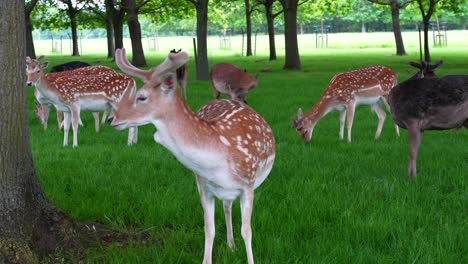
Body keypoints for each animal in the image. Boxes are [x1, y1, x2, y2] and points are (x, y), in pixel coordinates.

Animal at [108, 48, 276, 262]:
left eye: (141, 97)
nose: (111, 119)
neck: (218, 159)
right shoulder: (203, 187)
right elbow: (209, 229)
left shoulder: (248, 185)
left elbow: (247, 231)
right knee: (227, 206)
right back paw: (230, 246)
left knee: (229, 207)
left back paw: (232, 246)